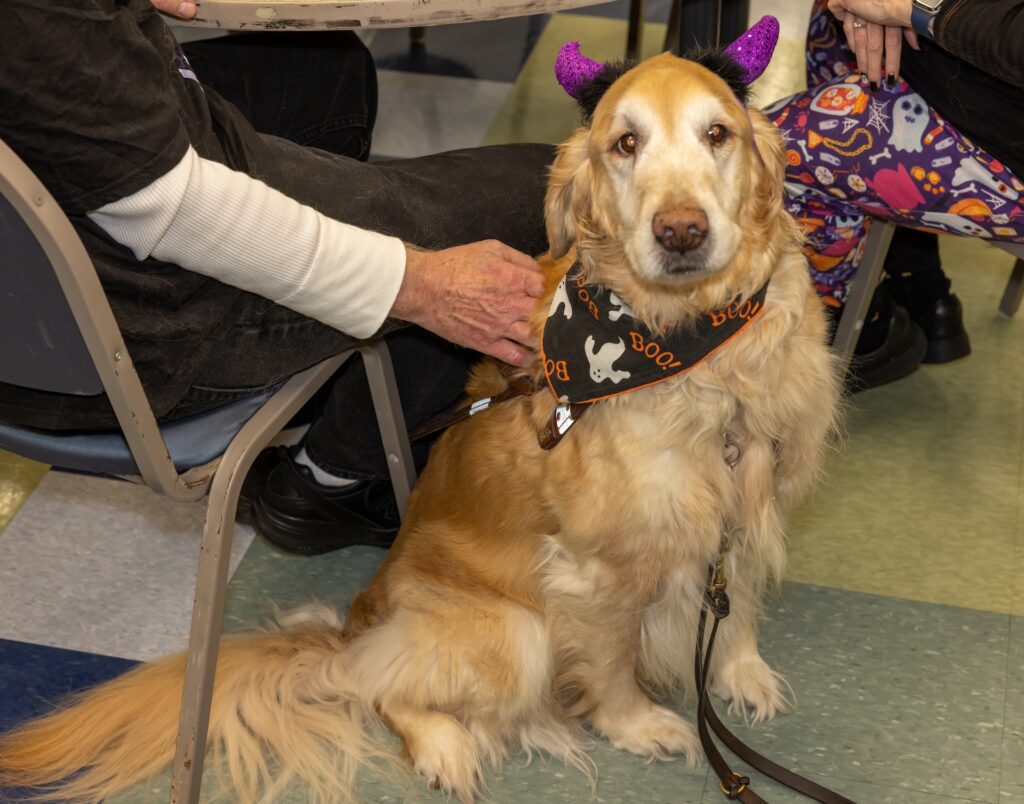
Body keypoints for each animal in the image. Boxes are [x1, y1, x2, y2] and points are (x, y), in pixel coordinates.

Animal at [0, 40, 839, 802]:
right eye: (625, 144)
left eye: (717, 134)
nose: (681, 231)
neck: (699, 353)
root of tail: (358, 620)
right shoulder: (601, 564)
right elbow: (611, 660)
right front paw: (637, 722)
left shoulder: (746, 500)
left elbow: (732, 604)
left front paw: (739, 672)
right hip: (513, 634)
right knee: (376, 686)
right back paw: (444, 746)